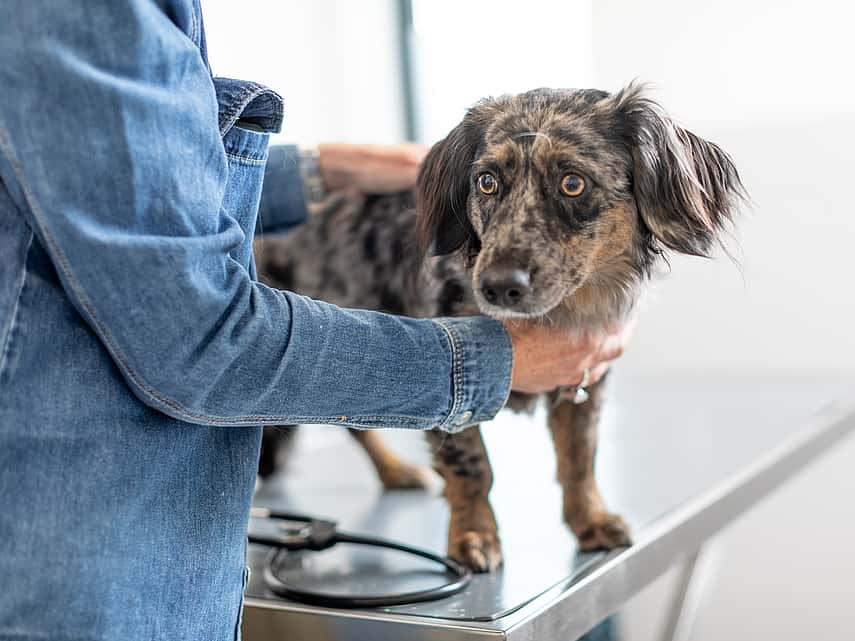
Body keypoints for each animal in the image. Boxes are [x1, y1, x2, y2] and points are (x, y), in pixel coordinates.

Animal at [251, 84, 744, 568]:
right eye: (487, 182)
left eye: (572, 183)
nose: (498, 286)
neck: (559, 312)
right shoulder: (450, 384)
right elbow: (473, 466)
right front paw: (473, 534)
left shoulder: (586, 381)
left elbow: (579, 458)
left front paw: (590, 520)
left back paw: (395, 471)